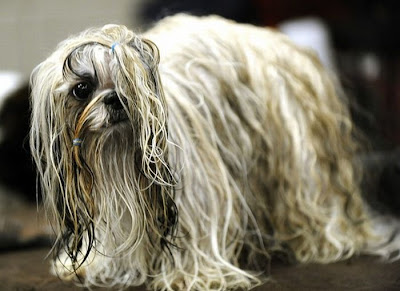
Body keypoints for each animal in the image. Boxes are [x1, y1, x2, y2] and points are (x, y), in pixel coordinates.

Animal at [28, 14, 400, 291]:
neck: (119, 158)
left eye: (129, 83)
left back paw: (323, 242)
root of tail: (280, 42)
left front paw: (188, 276)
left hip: (301, 159)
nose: (115, 99)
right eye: (82, 88)